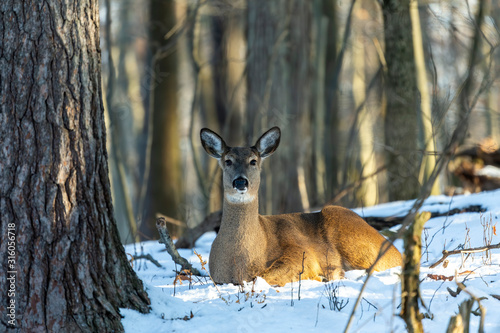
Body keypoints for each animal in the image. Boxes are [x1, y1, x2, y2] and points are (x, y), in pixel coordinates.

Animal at [200, 125, 402, 286]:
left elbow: (263, 277)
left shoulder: (300, 251)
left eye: (253, 161)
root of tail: (395, 250)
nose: (240, 182)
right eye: (228, 161)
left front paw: (322, 276)